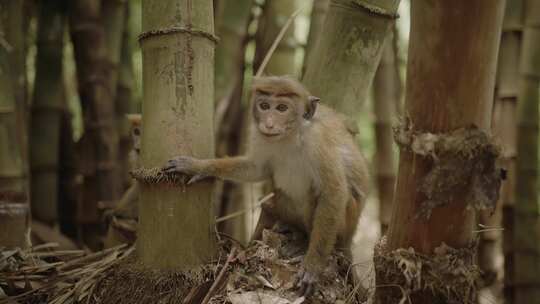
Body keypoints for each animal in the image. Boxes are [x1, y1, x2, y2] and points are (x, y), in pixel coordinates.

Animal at [162, 76, 370, 296]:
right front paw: (199, 167)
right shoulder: (258, 134)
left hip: (345, 223)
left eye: (282, 108)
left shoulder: (318, 142)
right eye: (264, 106)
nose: (269, 124)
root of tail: (350, 238)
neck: (290, 136)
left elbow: (333, 192)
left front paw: (313, 265)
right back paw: (291, 227)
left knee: (317, 195)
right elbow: (256, 169)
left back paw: (304, 242)